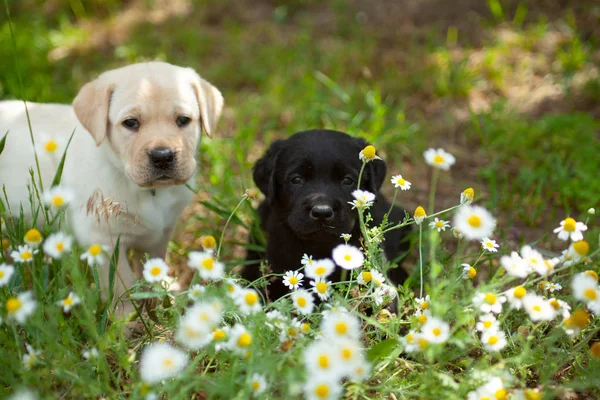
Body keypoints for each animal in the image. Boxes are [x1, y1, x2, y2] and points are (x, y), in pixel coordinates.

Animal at [0, 61, 224, 318]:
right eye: (131, 123)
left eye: (183, 120)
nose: (162, 156)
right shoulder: (102, 238)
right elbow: (121, 283)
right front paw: (127, 318)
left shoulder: (160, 234)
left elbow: (152, 268)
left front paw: (157, 300)